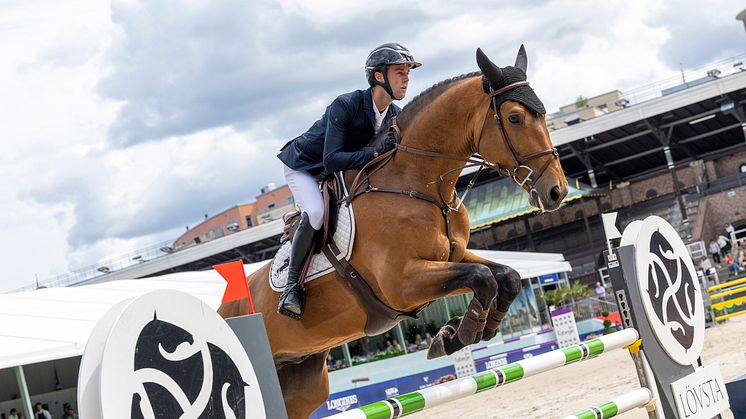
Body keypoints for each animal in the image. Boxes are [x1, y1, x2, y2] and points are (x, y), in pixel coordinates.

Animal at [218, 46, 568, 419]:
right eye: (515, 118)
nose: (556, 192)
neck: (419, 184)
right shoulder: (402, 284)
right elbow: (482, 277)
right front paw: (455, 335)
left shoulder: (453, 255)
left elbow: (506, 276)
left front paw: (467, 331)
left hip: (301, 378)